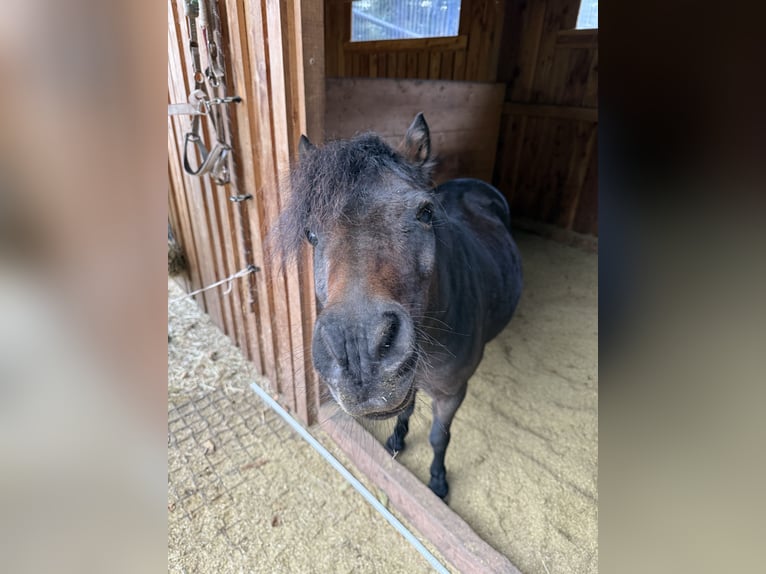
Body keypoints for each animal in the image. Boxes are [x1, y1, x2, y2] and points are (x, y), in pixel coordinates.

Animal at [272, 113, 523, 499]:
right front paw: (396, 440)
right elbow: (406, 411)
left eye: (426, 212)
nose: (358, 350)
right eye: (310, 232)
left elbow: (439, 437)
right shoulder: (412, 383)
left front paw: (437, 481)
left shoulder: (451, 394)